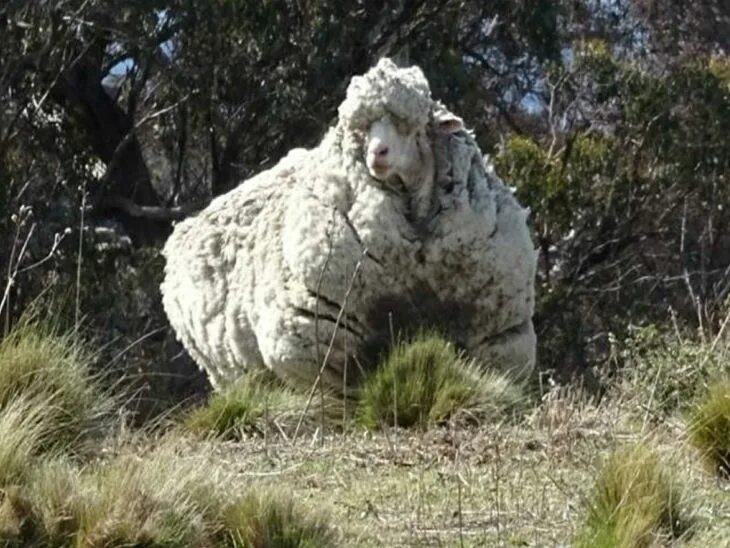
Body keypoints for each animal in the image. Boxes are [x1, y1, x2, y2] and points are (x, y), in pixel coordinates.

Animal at [161, 57, 536, 392]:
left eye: (410, 125)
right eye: (361, 129)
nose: (377, 154)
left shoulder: (496, 335)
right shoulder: (321, 343)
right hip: (229, 373)